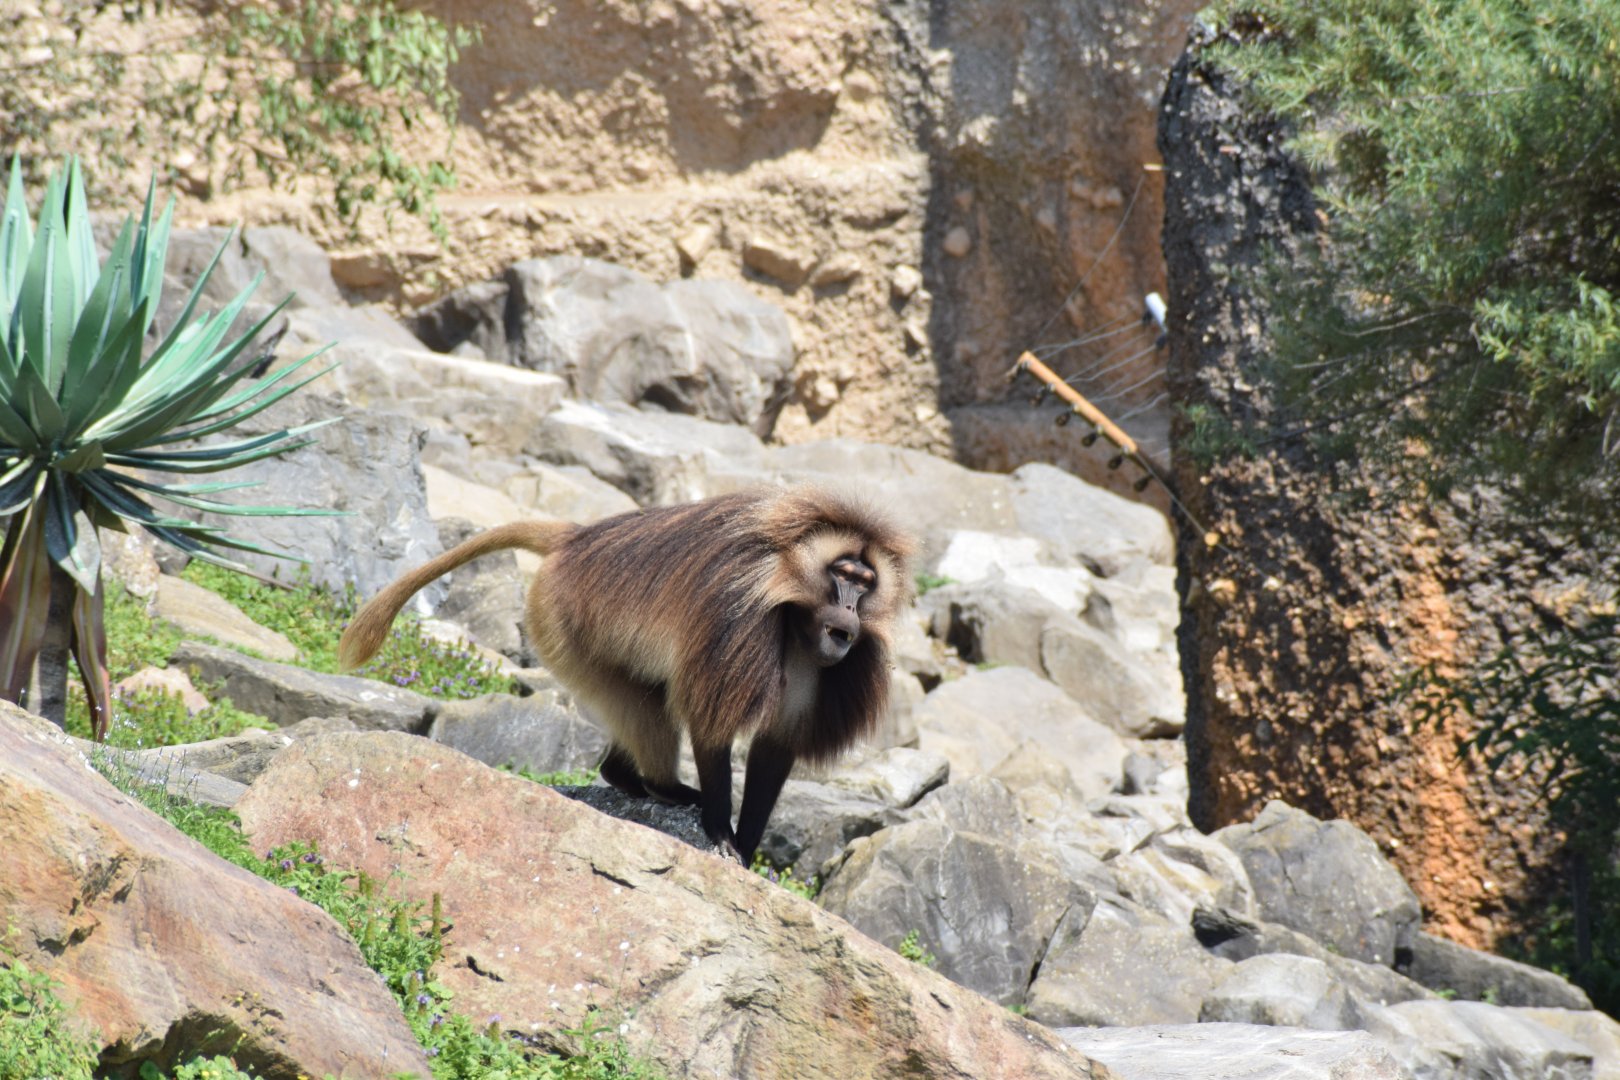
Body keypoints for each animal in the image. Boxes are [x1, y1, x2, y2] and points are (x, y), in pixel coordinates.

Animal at [338, 487, 915, 865]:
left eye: (865, 582)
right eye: (841, 575)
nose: (849, 613)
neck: (792, 606)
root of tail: (574, 539)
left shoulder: (815, 664)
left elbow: (776, 747)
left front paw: (747, 851)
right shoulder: (738, 618)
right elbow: (711, 725)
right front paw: (719, 831)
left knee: (643, 703)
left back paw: (623, 775)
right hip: (565, 627)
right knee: (647, 704)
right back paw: (666, 788)